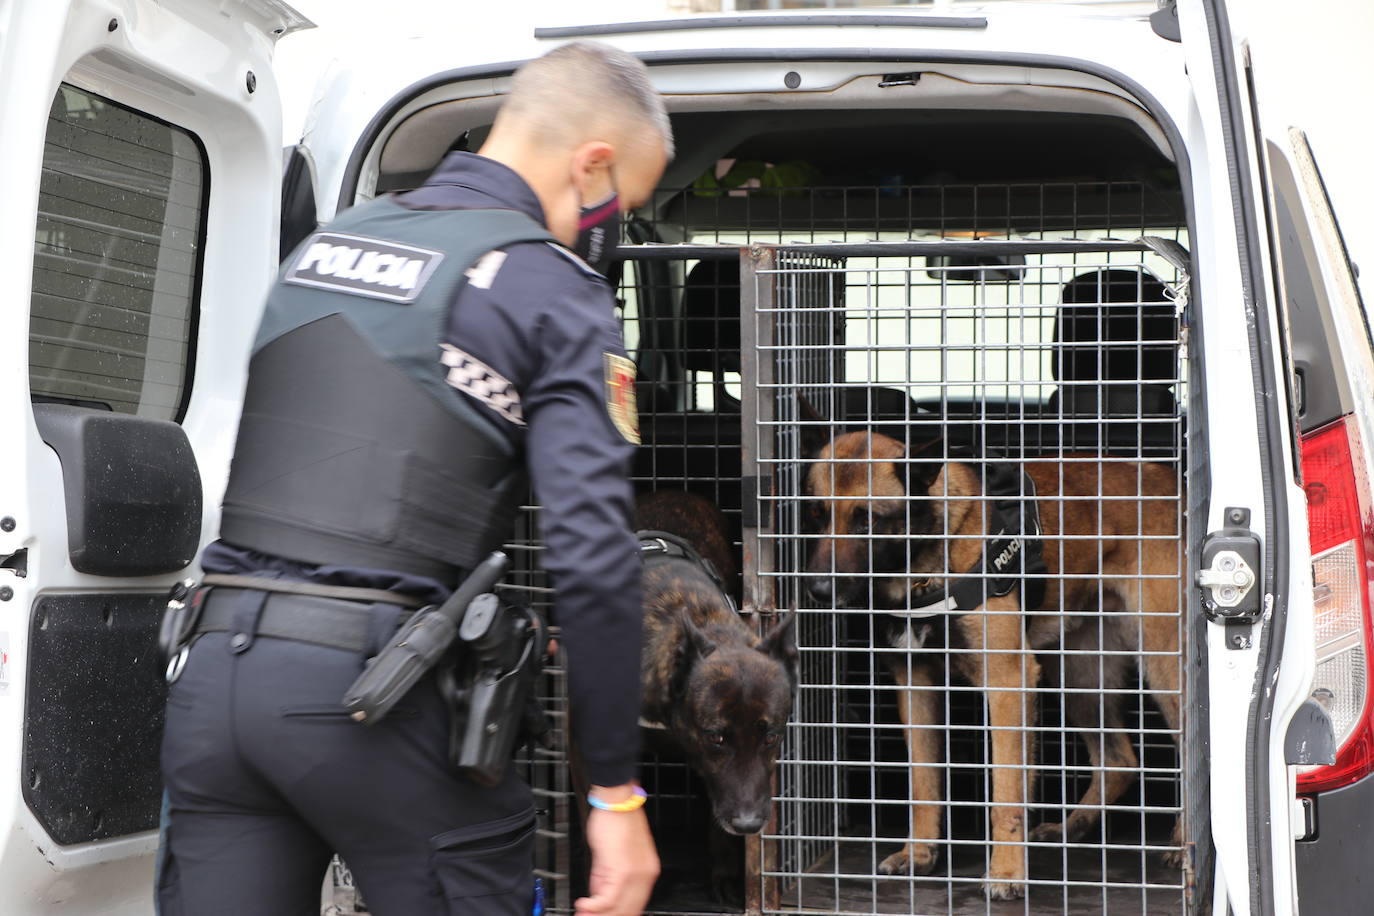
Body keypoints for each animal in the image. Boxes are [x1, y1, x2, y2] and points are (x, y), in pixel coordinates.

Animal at [802, 417, 1181, 900]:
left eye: (867, 520)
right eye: (817, 514)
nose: (817, 590)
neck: (930, 561)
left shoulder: (1007, 684)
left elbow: (1007, 795)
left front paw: (1005, 872)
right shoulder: (915, 686)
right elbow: (922, 783)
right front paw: (918, 853)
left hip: (1164, 666)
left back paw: (1183, 844)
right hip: (1077, 673)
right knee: (1118, 761)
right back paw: (1070, 828)